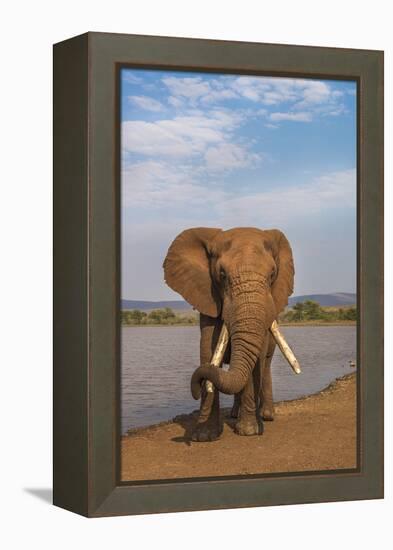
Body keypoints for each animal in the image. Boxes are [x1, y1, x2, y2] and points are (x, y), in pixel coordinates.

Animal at [161, 226, 292, 442]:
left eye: (272, 274)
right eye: (222, 275)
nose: (195, 390)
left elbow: (256, 358)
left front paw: (249, 431)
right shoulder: (208, 298)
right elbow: (208, 350)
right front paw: (204, 437)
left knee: (265, 365)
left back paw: (266, 416)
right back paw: (234, 414)